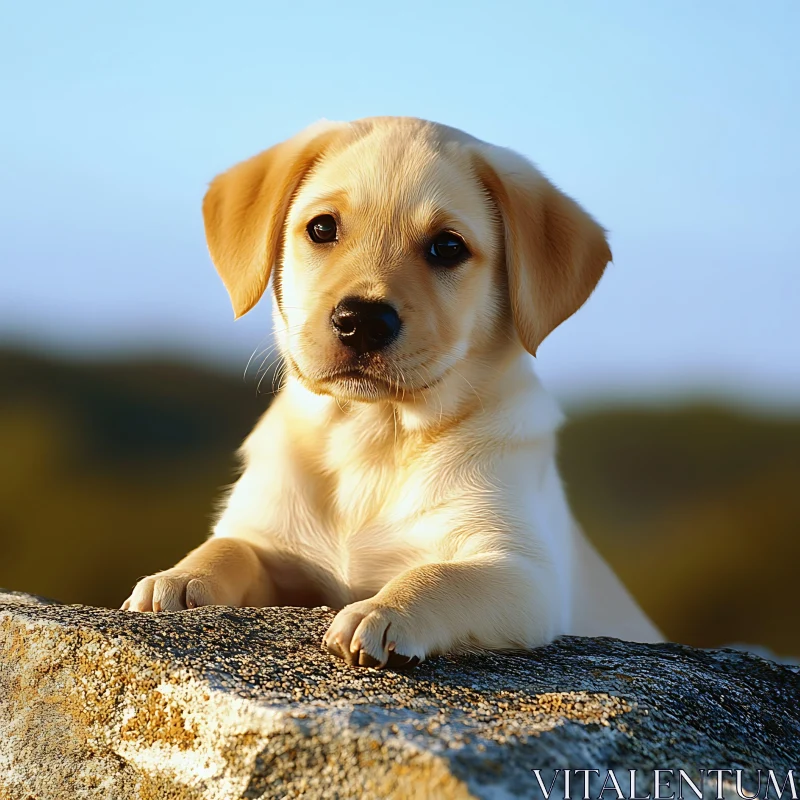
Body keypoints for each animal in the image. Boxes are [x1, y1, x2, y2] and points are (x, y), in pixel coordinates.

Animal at [123, 117, 664, 668]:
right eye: (322, 228)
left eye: (448, 247)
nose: (361, 321)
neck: (373, 433)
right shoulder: (271, 539)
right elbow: (230, 546)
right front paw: (181, 577)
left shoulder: (521, 571)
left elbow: (441, 576)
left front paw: (382, 610)